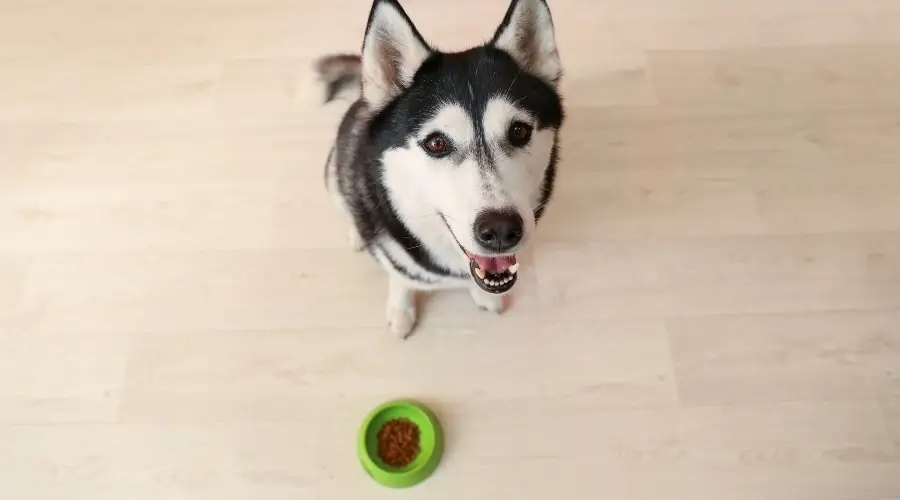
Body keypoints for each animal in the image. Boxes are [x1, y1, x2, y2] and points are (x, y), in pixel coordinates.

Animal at [318, 0, 564, 338]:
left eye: (519, 131)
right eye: (436, 143)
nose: (501, 230)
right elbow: (401, 278)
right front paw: (401, 308)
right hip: (335, 172)